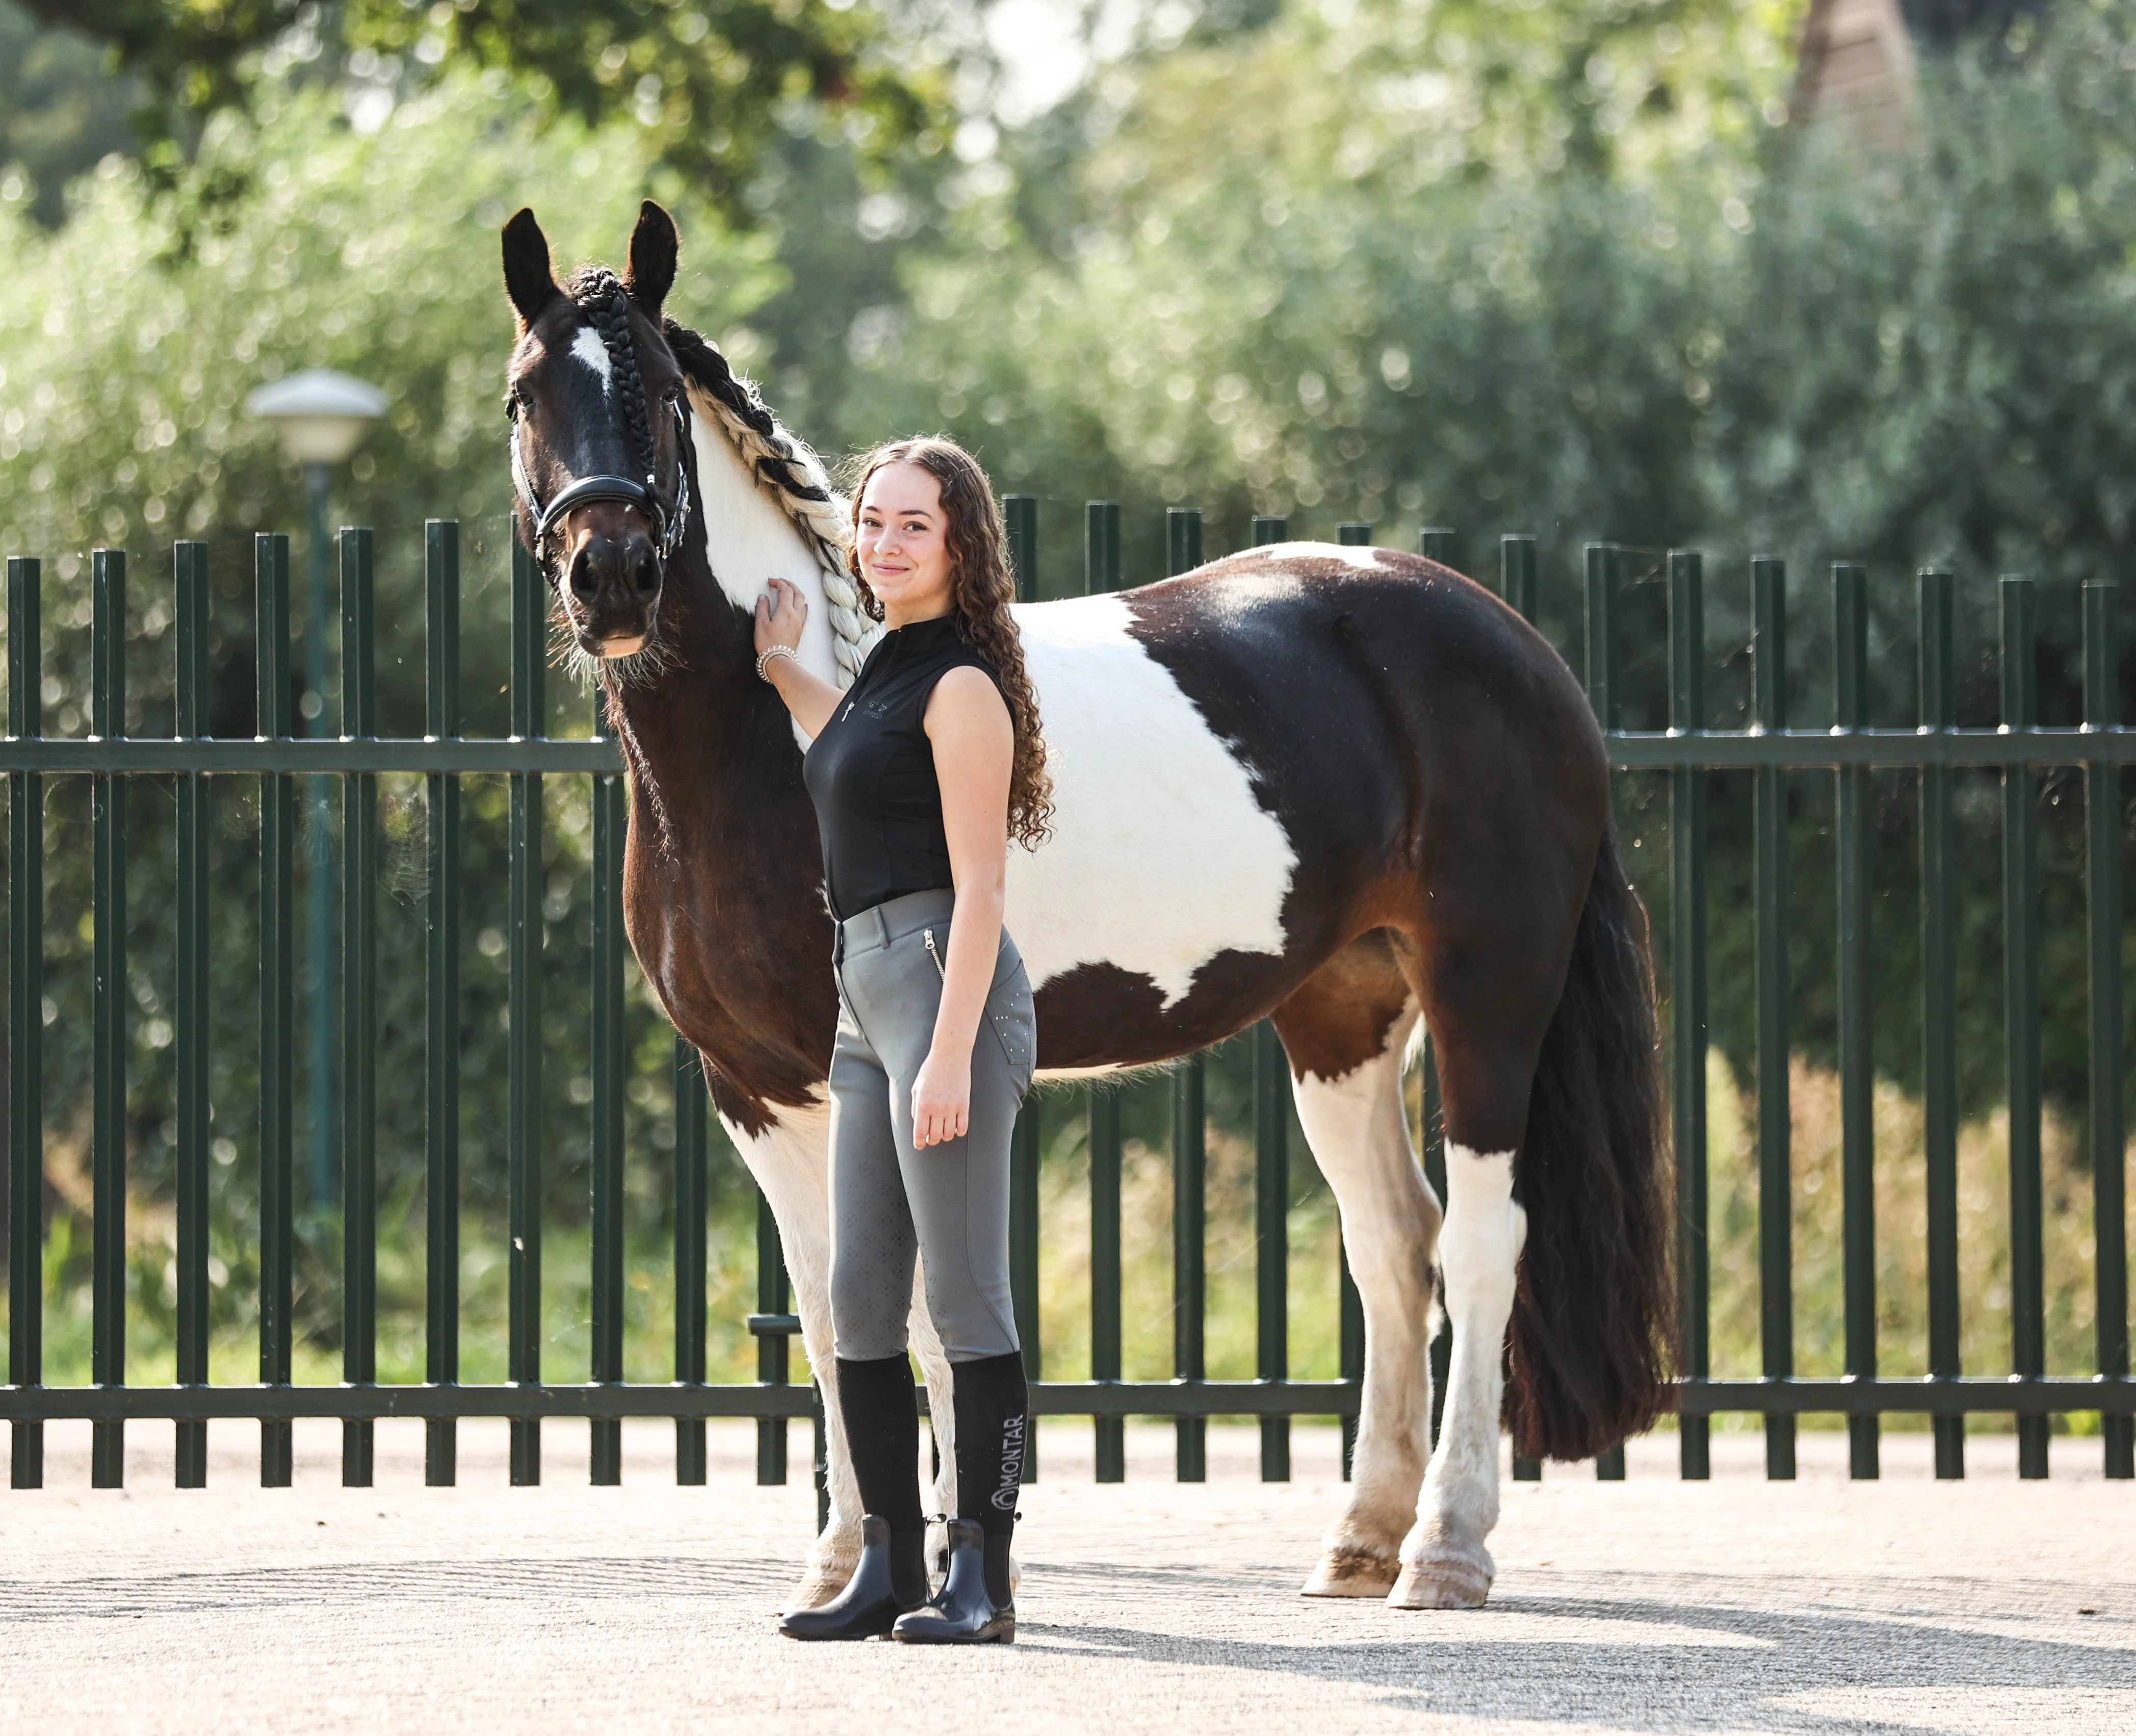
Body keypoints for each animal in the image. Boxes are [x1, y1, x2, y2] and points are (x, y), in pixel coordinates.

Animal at [498, 200, 1672, 1612]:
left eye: (666, 399)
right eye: (524, 395)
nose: (611, 577)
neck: (776, 742)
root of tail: (1520, 648)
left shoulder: (894, 1074)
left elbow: (919, 1319)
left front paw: (936, 1570)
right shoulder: (759, 1088)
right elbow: (835, 1311)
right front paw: (838, 1567)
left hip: (1487, 993)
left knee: (1484, 1242)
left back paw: (1444, 1550)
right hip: (1342, 1015)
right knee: (1394, 1244)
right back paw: (1359, 1537)